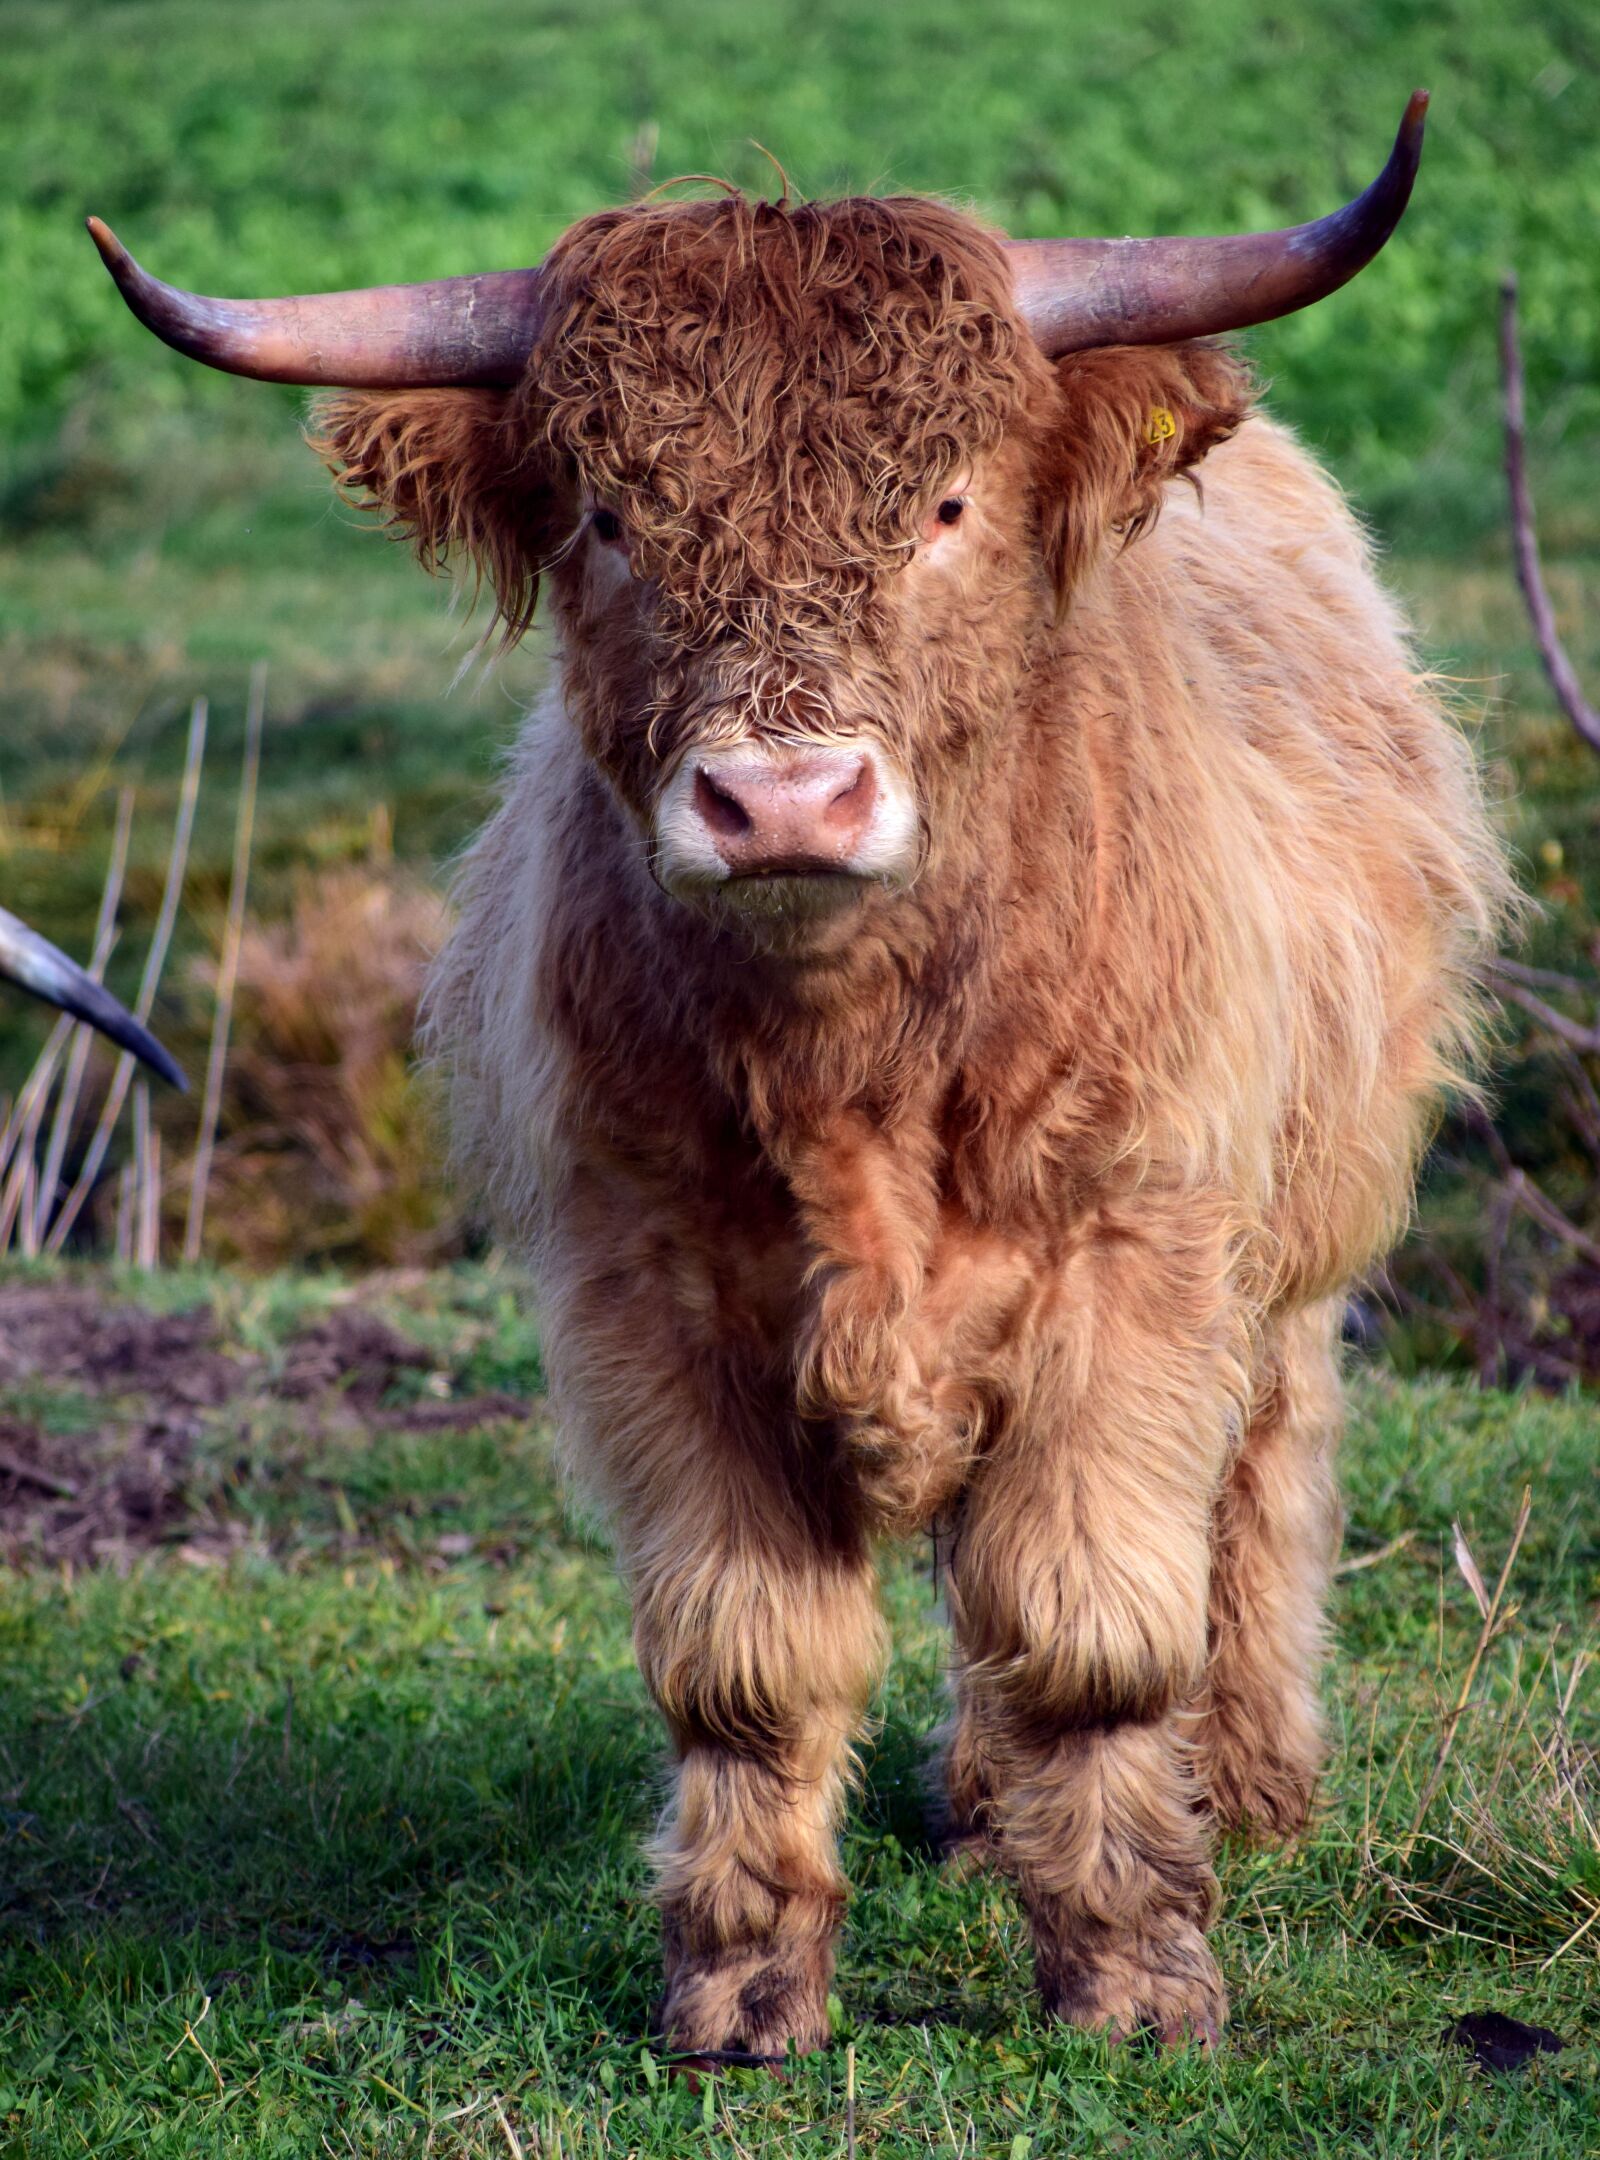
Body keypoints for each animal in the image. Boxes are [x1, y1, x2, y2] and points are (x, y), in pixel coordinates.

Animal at [90, 90, 1510, 2053]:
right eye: (614, 518)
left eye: (946, 505)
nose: (781, 803)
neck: (861, 1068)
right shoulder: (648, 1291)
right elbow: (743, 1661)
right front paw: (745, 1988)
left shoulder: (1133, 1259)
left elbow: (1093, 1626)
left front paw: (1137, 1978)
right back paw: (983, 1806)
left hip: (1292, 1236)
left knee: (1261, 1485)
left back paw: (1252, 1779)